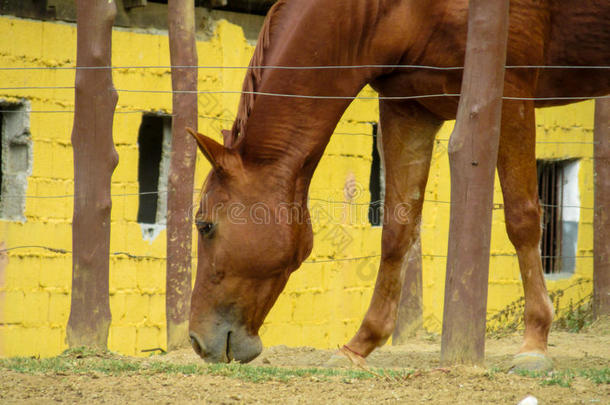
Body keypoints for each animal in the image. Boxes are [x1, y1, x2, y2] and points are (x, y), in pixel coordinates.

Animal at [185, 0, 608, 366]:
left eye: (204, 225)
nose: (196, 340)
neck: (393, 9)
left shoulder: (511, 91)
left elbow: (522, 219)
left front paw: (535, 342)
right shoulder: (409, 108)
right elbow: (397, 231)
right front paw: (358, 346)